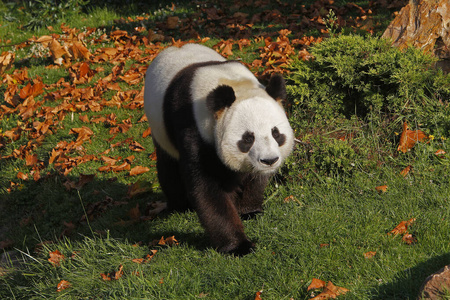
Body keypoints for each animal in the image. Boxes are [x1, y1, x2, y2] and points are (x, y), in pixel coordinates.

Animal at [142, 43, 294, 255]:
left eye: (276, 133)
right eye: (247, 138)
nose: (270, 160)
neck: (231, 81)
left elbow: (255, 178)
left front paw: (249, 211)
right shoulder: (194, 129)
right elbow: (208, 189)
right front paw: (239, 246)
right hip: (160, 130)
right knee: (169, 169)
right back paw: (179, 206)